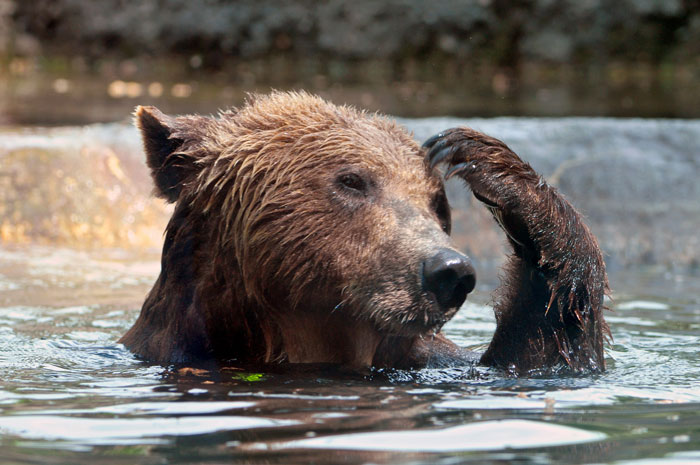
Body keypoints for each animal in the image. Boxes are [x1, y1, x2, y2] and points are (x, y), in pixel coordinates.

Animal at [120, 91, 609, 375]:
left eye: (436, 202)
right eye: (353, 180)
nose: (449, 270)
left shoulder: (437, 364)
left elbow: (539, 358)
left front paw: (479, 155)